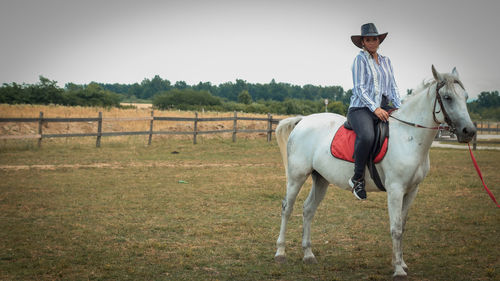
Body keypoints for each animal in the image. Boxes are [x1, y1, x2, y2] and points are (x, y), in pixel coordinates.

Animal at [274, 65, 476, 278]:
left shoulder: (412, 190)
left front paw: (401, 263)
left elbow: (402, 226)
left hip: (320, 179)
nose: (469, 131)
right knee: (287, 208)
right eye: (447, 97)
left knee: (308, 209)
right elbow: (396, 228)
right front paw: (398, 270)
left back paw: (308, 254)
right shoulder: (395, 190)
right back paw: (280, 253)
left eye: (466, 96)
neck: (408, 136)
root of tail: (303, 121)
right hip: (297, 177)